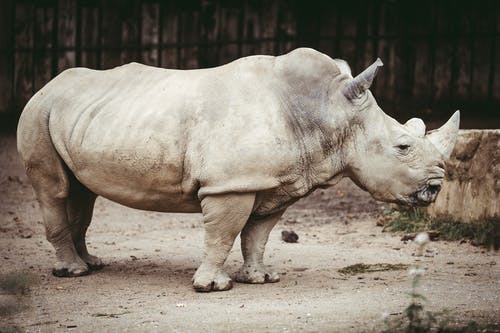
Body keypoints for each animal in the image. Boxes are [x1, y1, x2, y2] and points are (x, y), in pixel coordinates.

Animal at [17, 47, 458, 290]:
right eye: (402, 147)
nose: (436, 188)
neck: (325, 111)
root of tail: (46, 85)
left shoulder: (277, 181)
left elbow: (258, 234)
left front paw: (260, 279)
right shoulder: (231, 183)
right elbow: (224, 233)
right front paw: (212, 286)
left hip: (77, 114)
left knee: (82, 193)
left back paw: (91, 264)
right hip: (39, 111)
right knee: (55, 190)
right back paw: (73, 273)